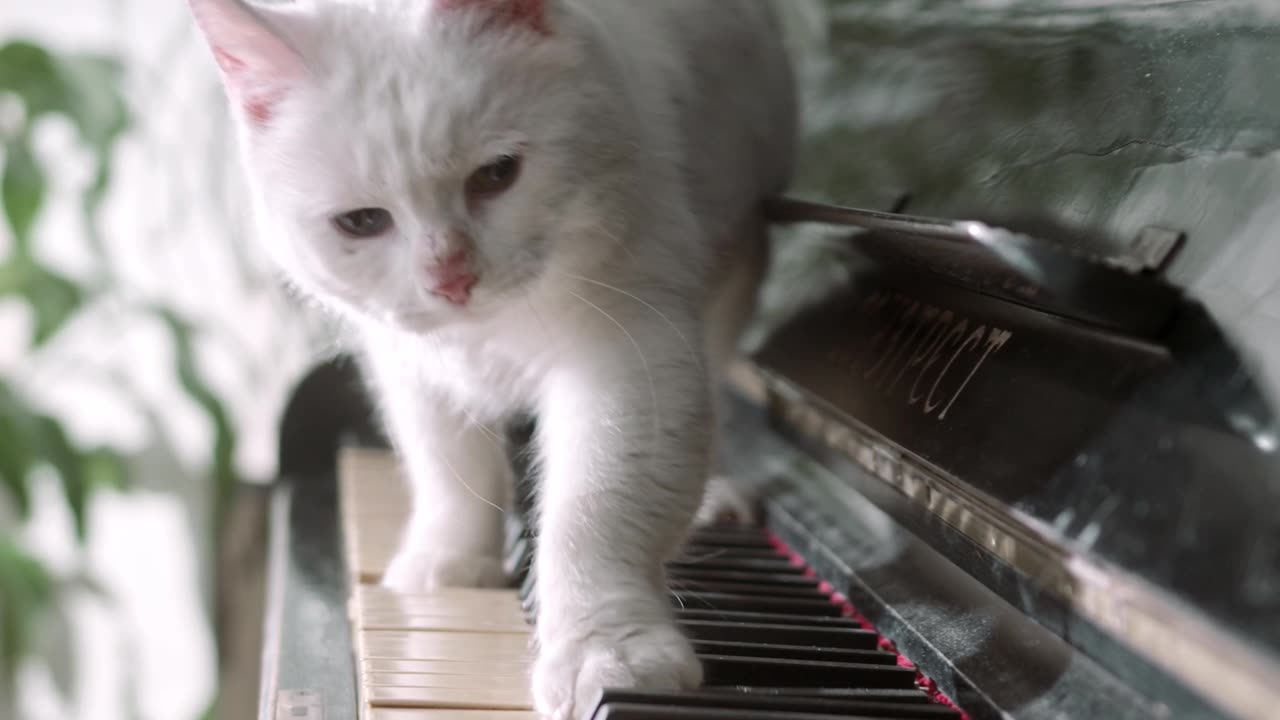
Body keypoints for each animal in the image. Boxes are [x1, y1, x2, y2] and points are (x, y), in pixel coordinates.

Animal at [189, 1, 793, 712]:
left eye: (497, 175)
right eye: (362, 222)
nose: (450, 279)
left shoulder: (631, 356)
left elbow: (595, 514)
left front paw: (606, 658)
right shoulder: (410, 365)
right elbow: (448, 469)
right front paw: (452, 564)